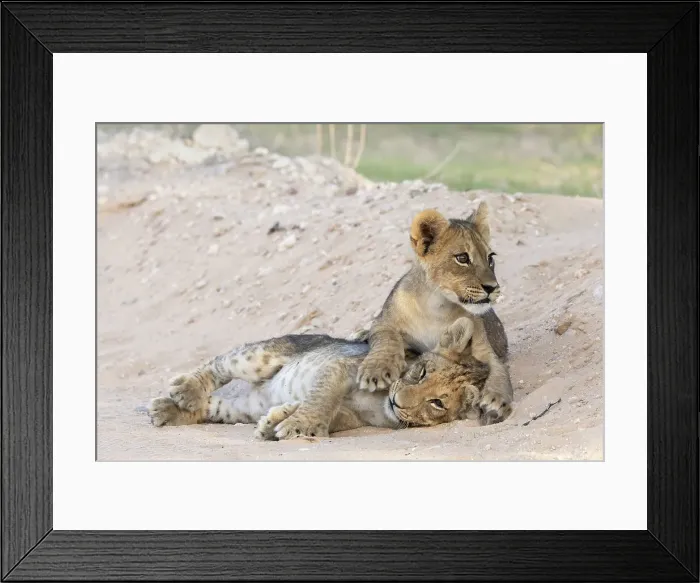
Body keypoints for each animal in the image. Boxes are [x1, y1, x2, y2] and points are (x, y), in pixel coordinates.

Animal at [148, 317, 501, 440]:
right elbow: (323, 397)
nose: (398, 402)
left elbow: (332, 415)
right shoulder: (345, 366)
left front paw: (278, 422)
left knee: (216, 407)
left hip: (244, 408)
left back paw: (167, 411)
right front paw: (297, 424)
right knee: (220, 364)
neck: (380, 406)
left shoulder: (354, 418)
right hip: (262, 358)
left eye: (437, 403)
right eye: (422, 371)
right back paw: (185, 391)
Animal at [356, 202, 513, 424]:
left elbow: (500, 371)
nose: (493, 288)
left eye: (490, 258)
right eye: (462, 258)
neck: (437, 306)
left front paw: (497, 400)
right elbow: (385, 338)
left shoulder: (483, 349)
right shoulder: (385, 321)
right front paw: (376, 370)